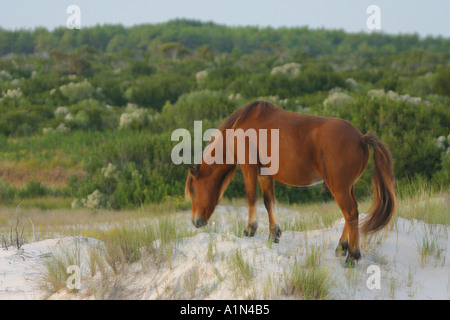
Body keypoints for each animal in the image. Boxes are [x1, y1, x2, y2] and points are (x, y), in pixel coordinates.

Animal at [185, 100, 396, 262]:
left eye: (193, 190)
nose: (196, 222)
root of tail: (361, 138)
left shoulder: (249, 166)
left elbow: (251, 197)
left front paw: (250, 230)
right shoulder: (264, 173)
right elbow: (268, 201)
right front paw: (273, 234)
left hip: (339, 188)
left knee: (351, 212)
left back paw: (353, 255)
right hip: (346, 187)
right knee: (350, 213)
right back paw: (341, 247)